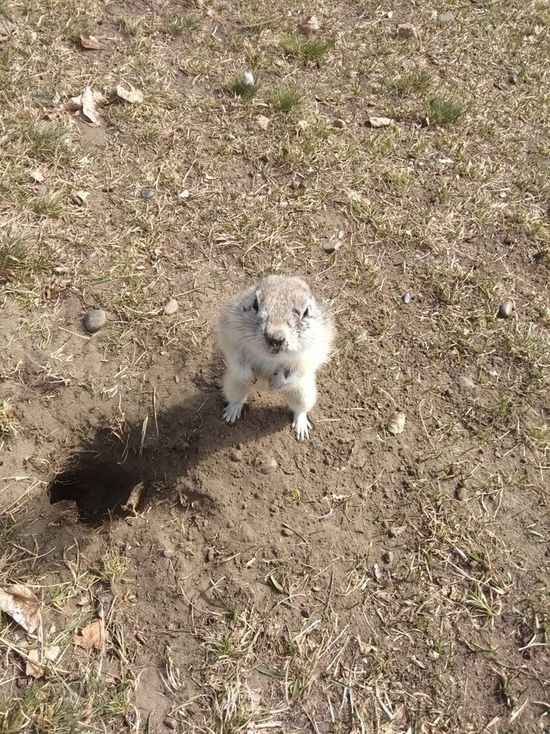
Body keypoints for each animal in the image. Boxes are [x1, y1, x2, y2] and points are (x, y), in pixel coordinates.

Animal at [218, 274, 334, 436]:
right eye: (255, 304)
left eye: (306, 312)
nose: (275, 339)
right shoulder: (230, 333)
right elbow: (234, 356)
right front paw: (247, 375)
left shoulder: (313, 350)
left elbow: (299, 368)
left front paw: (278, 382)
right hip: (233, 384)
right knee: (236, 399)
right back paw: (231, 412)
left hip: (303, 392)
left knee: (301, 408)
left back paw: (301, 426)